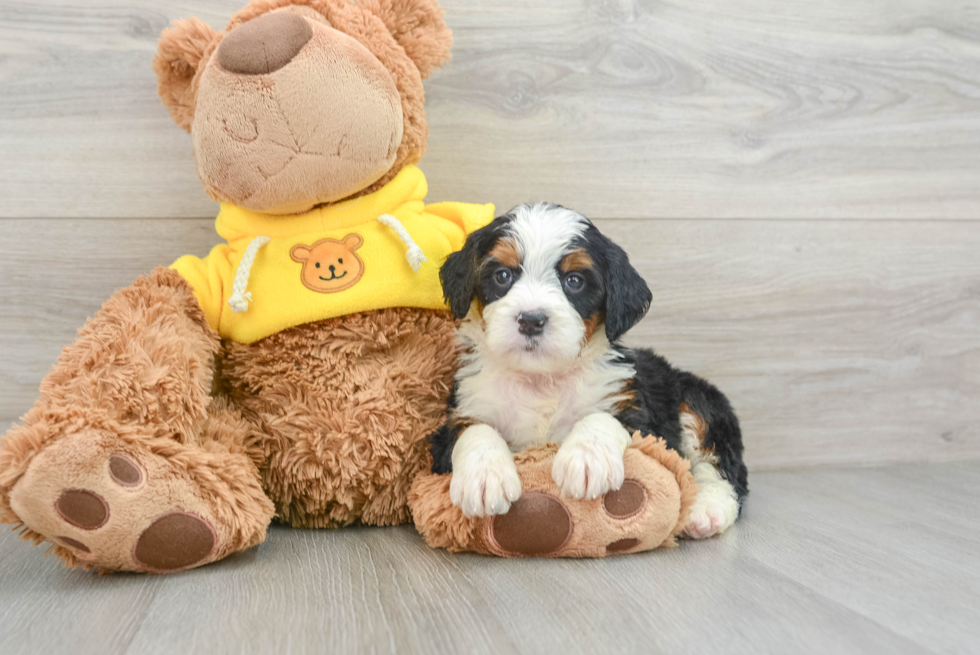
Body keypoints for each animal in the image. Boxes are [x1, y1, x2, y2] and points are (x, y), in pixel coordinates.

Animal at [430, 204, 752, 540]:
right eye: (503, 275)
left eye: (574, 281)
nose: (531, 319)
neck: (541, 379)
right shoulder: (458, 416)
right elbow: (475, 430)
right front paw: (484, 476)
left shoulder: (639, 418)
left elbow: (602, 418)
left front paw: (586, 459)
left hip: (697, 398)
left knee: (720, 469)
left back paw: (705, 509)